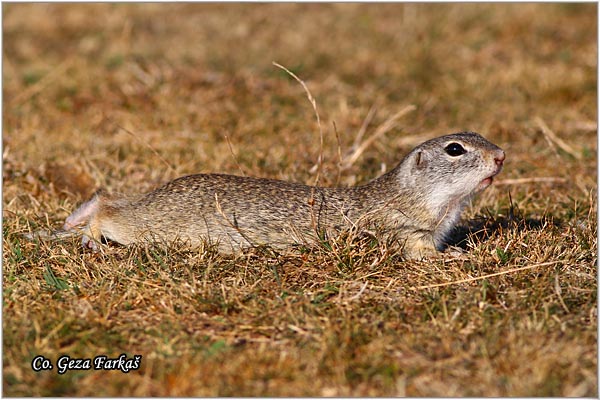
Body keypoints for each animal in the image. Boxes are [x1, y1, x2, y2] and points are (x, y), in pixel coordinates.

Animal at [62, 132, 502, 260]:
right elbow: (424, 256)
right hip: (153, 228)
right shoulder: (406, 233)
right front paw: (462, 256)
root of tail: (157, 194)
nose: (501, 155)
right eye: (455, 149)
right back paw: (86, 235)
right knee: (108, 209)